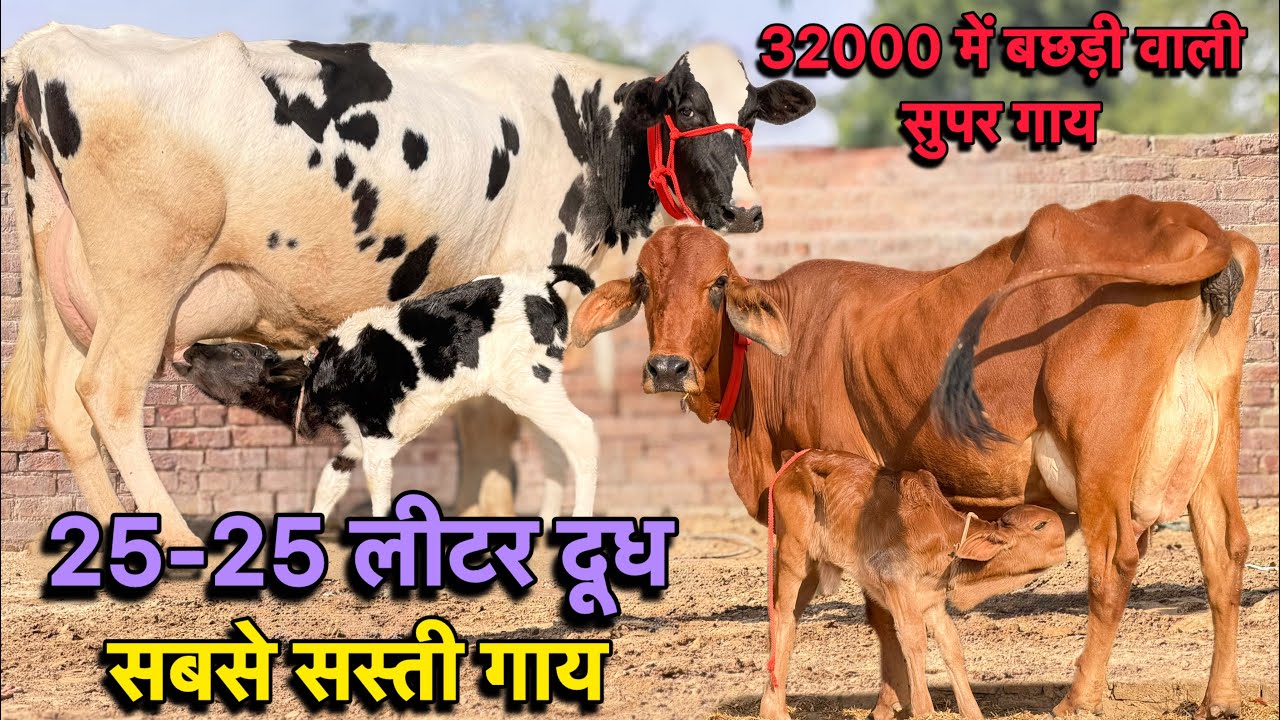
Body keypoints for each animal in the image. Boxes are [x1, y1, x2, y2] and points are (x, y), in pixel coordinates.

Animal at [173, 265, 599, 522]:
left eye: (237, 352)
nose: (191, 349)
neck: (323, 371)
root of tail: (541, 281)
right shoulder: (351, 442)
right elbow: (328, 484)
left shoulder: (376, 434)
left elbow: (378, 492)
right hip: (535, 393)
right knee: (556, 448)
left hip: (528, 383)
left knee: (582, 433)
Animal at [766, 449, 1066, 720]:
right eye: (1041, 525)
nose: (1065, 535)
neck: (943, 536)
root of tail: (795, 459)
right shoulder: (896, 585)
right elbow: (914, 639)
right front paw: (924, 709)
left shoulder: (932, 600)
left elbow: (951, 645)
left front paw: (972, 712)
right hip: (793, 555)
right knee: (782, 618)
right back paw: (776, 712)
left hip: (811, 571)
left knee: (790, 618)